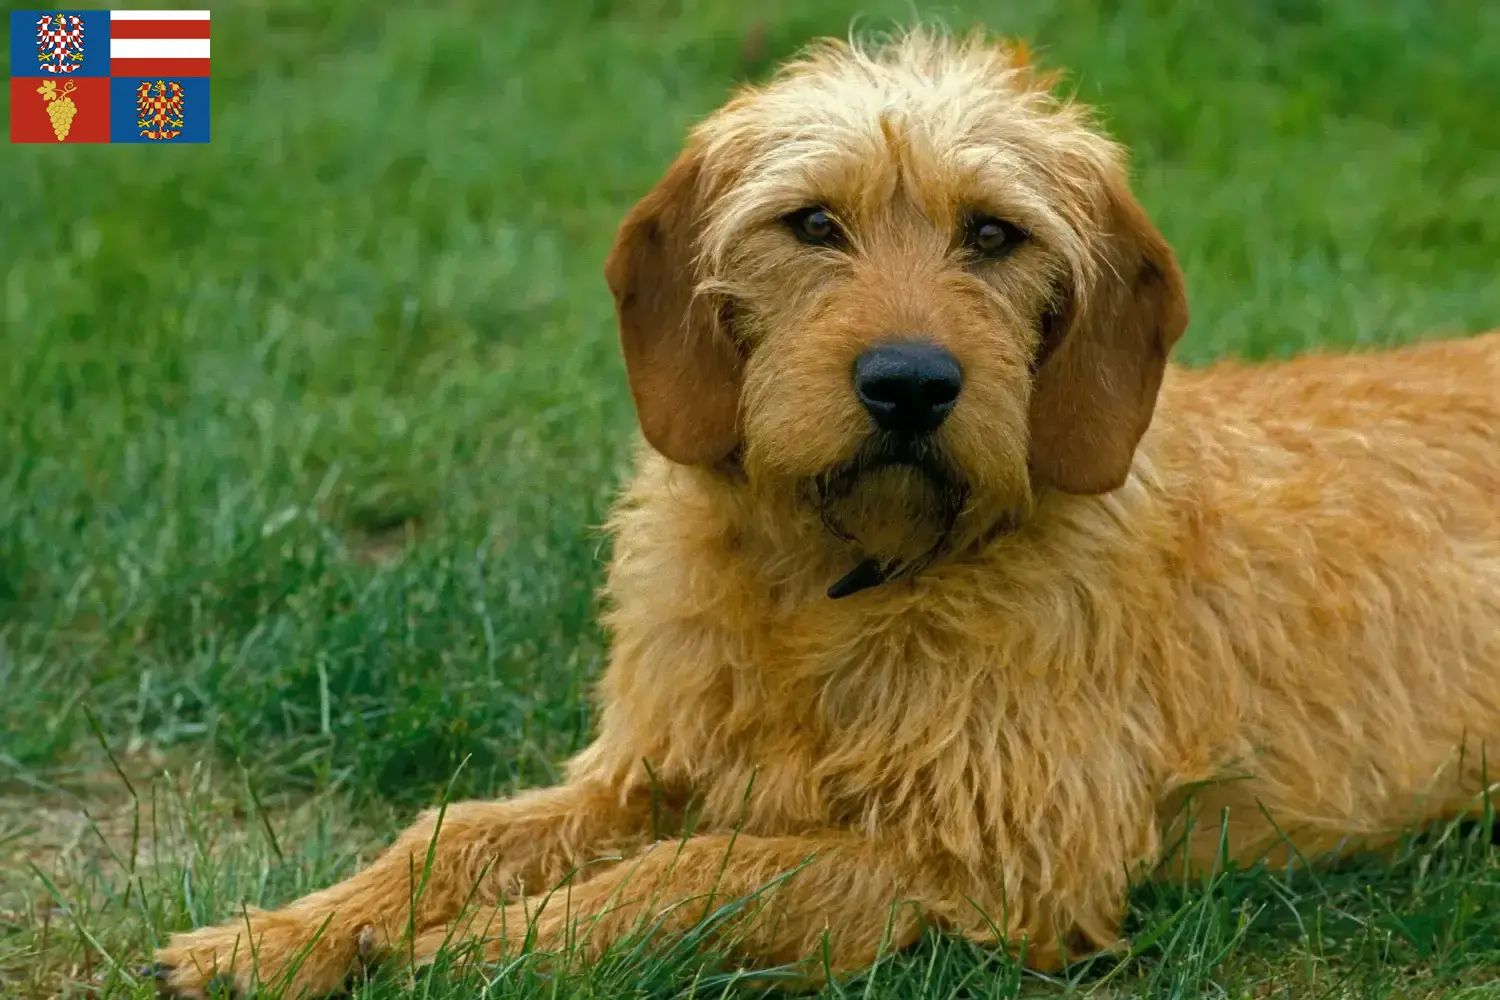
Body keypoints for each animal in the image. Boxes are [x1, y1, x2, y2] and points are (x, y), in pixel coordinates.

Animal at [155, 27, 1500, 995]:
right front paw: (284, 935)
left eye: (994, 234)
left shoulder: (998, 860)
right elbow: (455, 830)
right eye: (811, 224)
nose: (909, 382)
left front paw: (476, 951)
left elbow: (701, 873)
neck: (842, 577)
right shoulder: (644, 768)